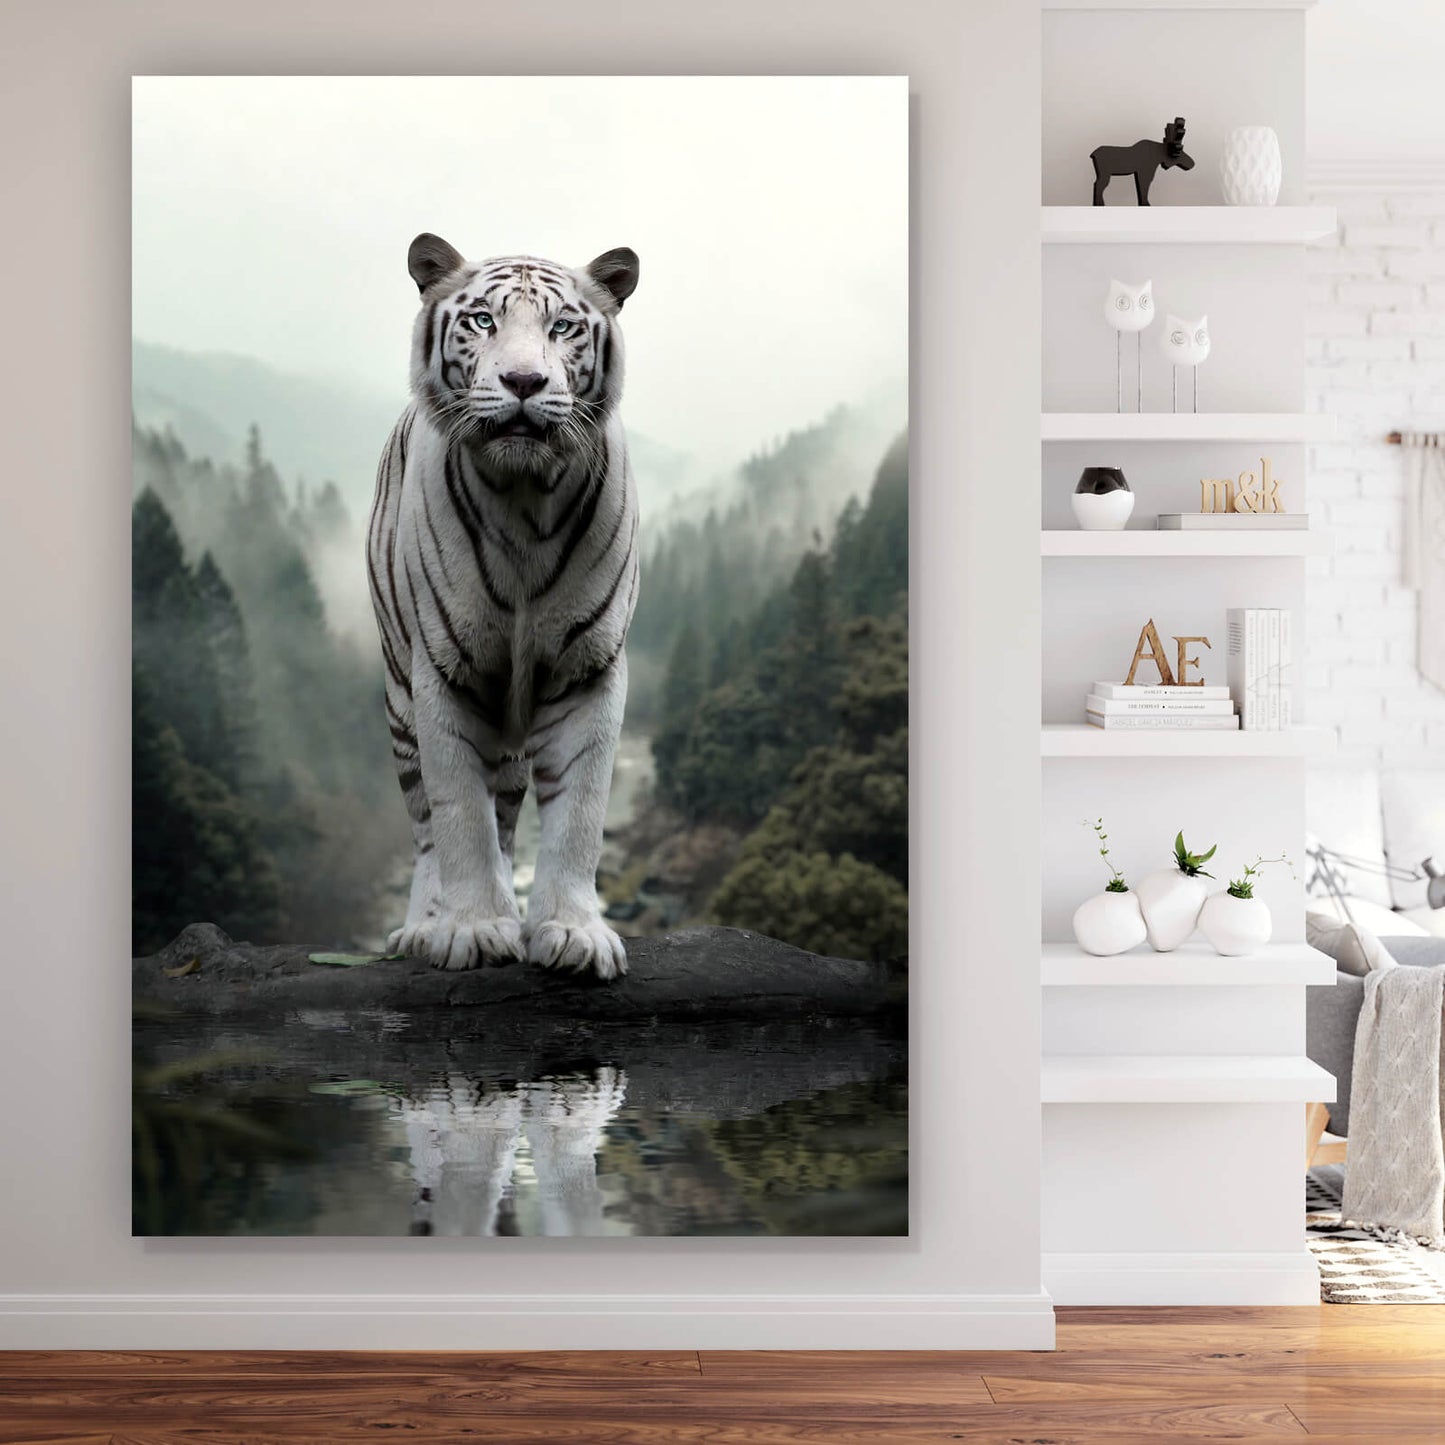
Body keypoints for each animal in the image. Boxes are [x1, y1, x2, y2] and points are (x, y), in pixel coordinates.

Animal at [367, 233, 640, 980]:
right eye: (483, 320)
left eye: (563, 326)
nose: (523, 382)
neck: (524, 497)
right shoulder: (443, 672)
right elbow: (459, 813)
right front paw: (474, 929)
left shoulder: (588, 669)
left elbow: (579, 812)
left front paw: (572, 932)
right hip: (399, 700)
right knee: (426, 826)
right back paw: (421, 927)